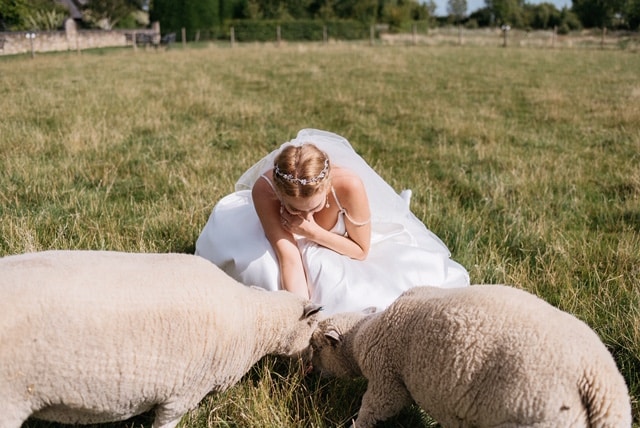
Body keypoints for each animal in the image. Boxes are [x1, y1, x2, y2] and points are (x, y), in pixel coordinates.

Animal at [0, 250, 322, 428]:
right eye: (313, 329)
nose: (310, 368)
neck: (253, 321)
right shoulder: (185, 391)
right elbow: (167, 421)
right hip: (9, 400)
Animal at [310, 284, 632, 428]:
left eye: (316, 348)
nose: (311, 375)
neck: (362, 336)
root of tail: (599, 382)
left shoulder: (387, 382)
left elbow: (375, 409)